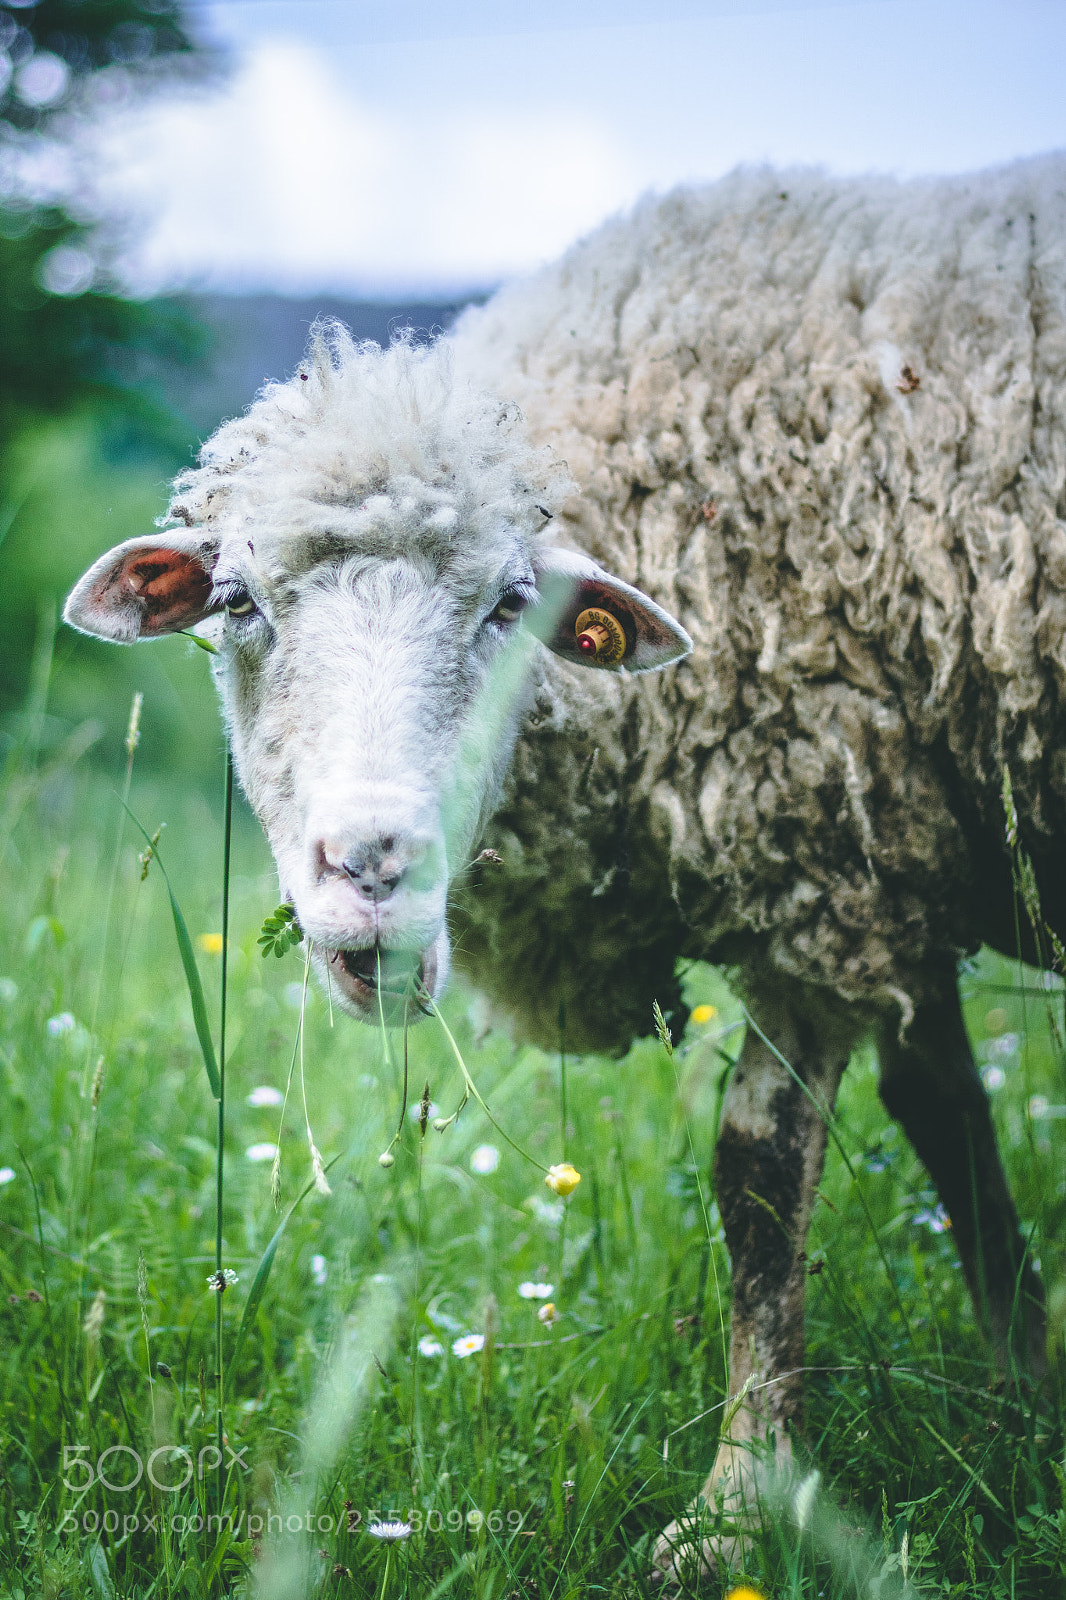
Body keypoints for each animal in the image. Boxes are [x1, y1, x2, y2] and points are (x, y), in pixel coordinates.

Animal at [64, 151, 1062, 1578]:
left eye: (507, 606)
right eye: (239, 602)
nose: (372, 865)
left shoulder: (820, 858)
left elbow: (761, 1172)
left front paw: (738, 1503)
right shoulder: (892, 844)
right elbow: (948, 1115)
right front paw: (1025, 1381)